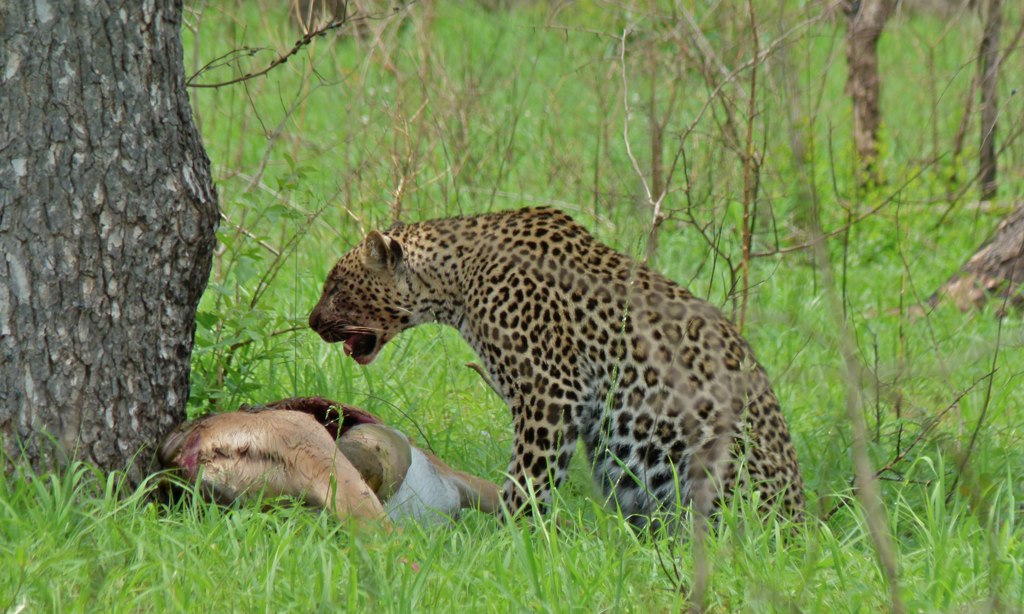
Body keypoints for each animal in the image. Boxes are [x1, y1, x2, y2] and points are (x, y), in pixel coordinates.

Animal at [307, 206, 802, 521]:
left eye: (335, 285)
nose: (310, 321)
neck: (456, 280)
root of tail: (798, 523)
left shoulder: (548, 392)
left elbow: (530, 477)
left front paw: (509, 537)